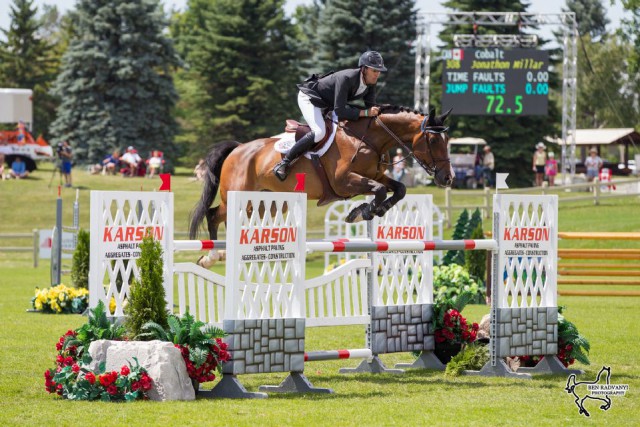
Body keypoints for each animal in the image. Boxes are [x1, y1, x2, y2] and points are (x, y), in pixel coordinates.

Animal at [189, 106, 454, 267]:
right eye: (432, 140)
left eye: (447, 139)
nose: (447, 178)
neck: (369, 139)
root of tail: (238, 149)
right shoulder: (344, 181)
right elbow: (378, 190)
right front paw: (362, 212)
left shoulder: (377, 175)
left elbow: (398, 189)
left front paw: (369, 210)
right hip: (239, 197)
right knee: (213, 215)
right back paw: (211, 257)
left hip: (267, 204)